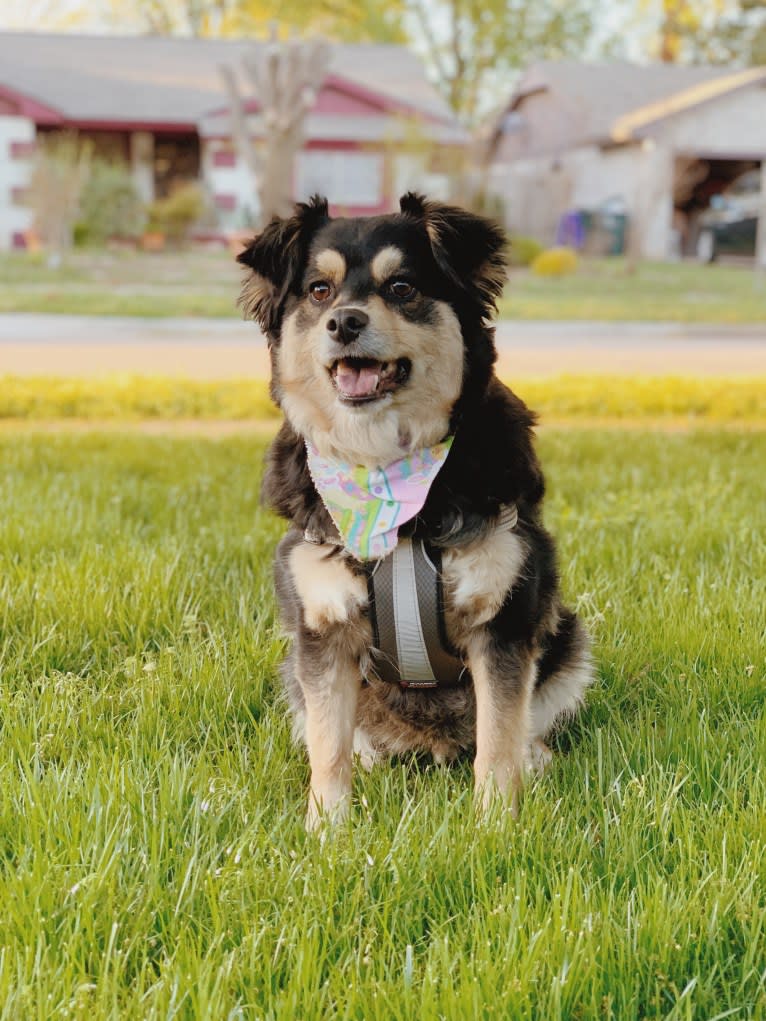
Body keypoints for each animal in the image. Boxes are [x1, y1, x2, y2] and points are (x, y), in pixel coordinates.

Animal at [238, 192, 592, 829]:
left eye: (402, 286)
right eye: (319, 290)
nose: (345, 322)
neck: (388, 482)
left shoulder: (503, 620)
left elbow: (498, 737)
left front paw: (495, 825)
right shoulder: (322, 629)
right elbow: (327, 747)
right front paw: (327, 830)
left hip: (569, 638)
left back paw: (533, 758)